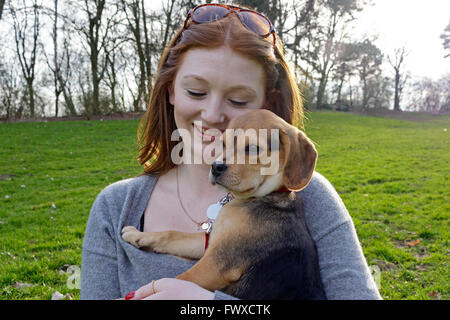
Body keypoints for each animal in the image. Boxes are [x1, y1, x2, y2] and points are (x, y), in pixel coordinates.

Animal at [122, 109, 326, 300]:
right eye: (223, 144)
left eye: (253, 148)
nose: (215, 167)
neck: (259, 196)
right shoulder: (212, 243)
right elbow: (172, 235)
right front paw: (137, 235)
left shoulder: (217, 263)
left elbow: (177, 280)